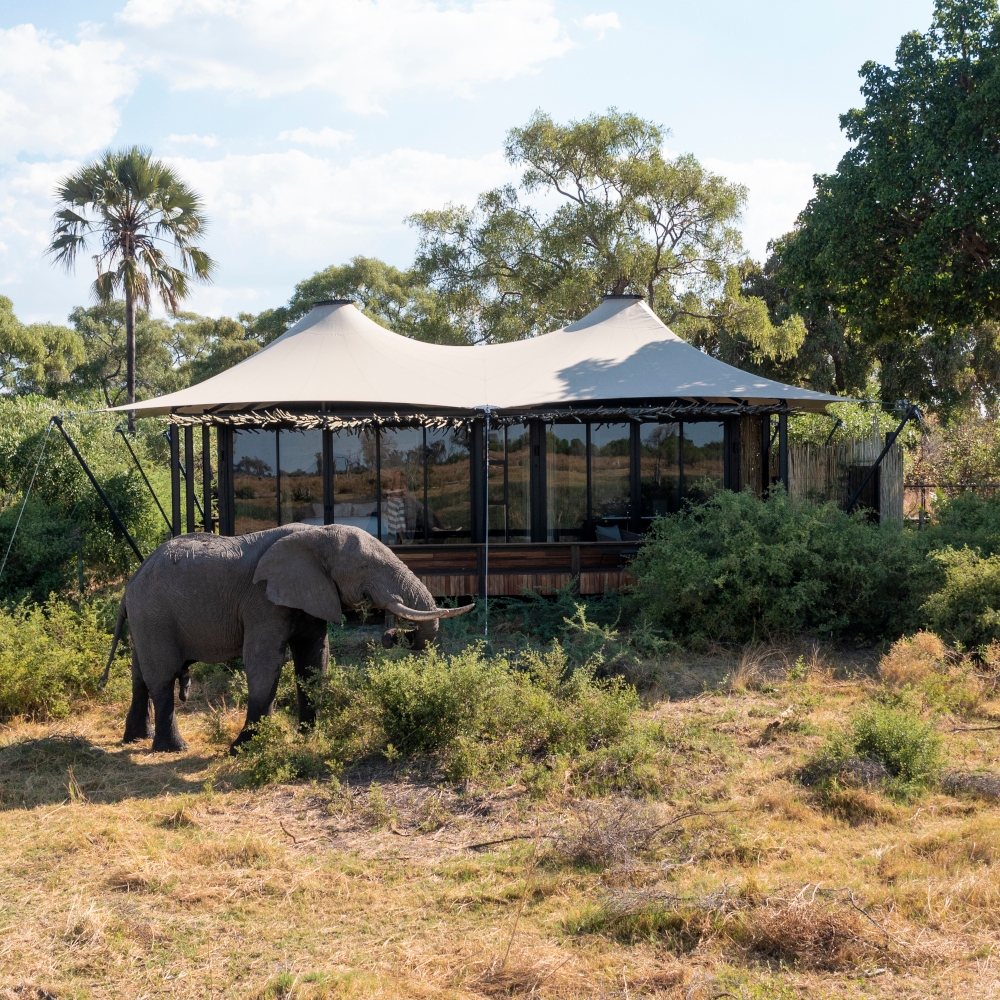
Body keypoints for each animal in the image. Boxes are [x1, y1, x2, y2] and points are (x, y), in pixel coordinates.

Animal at [104, 523, 474, 753]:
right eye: (366, 568)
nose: (393, 634)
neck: (316, 534)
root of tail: (129, 584)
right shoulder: (262, 600)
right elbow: (264, 662)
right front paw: (244, 750)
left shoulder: (311, 595)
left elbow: (314, 658)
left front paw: (309, 736)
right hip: (154, 615)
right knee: (161, 677)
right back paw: (173, 748)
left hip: (145, 619)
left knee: (140, 675)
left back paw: (136, 739)